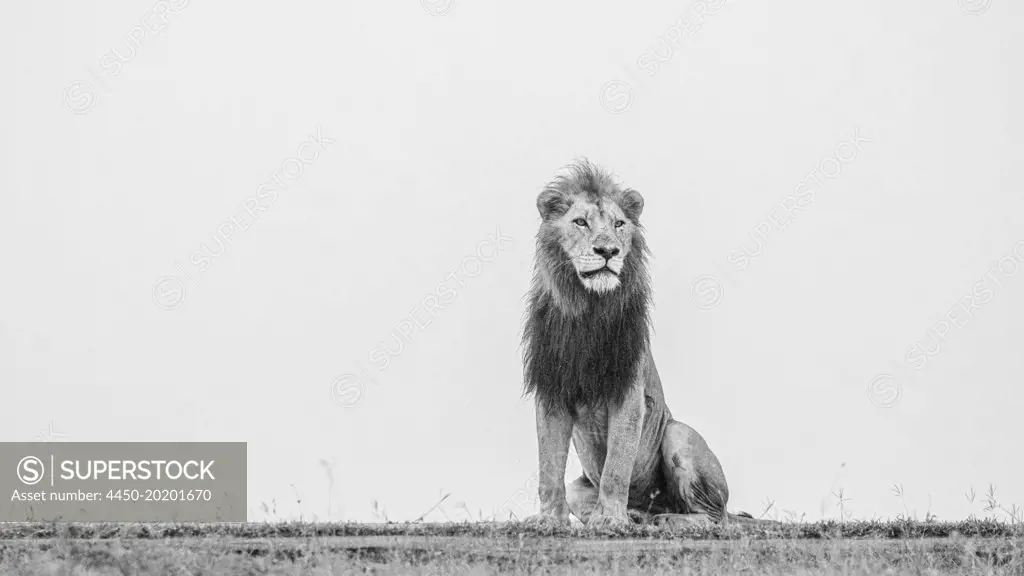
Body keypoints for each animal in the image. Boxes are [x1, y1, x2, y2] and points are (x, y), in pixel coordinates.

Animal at [520, 158, 774, 528]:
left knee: (712, 517)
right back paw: (639, 515)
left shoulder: (630, 392)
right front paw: (549, 520)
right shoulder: (552, 388)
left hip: (678, 433)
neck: (588, 309)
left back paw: (662, 520)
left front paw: (610, 519)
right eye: (580, 222)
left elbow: (616, 465)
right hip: (579, 487)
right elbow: (548, 467)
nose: (608, 250)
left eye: (619, 224)